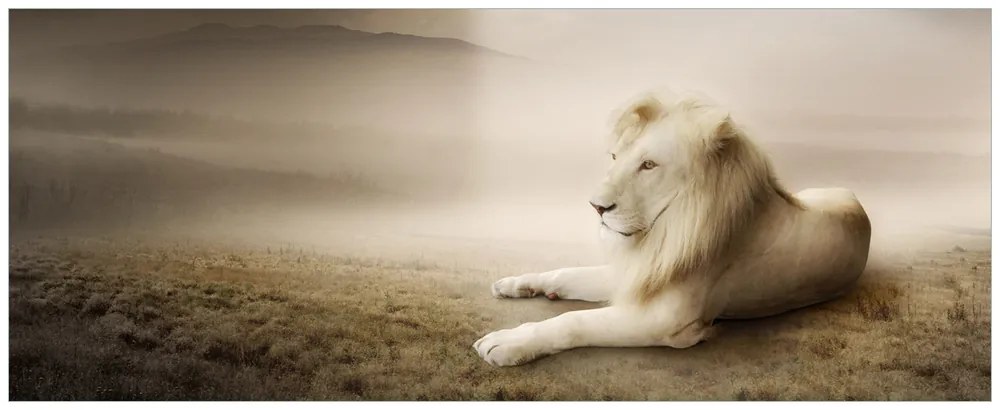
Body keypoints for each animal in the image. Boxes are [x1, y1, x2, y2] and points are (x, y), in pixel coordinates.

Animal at [473, 88, 872, 367]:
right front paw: (519, 284)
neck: (662, 233)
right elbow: (567, 273)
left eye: (649, 165)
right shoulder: (640, 273)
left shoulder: (666, 320)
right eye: (615, 157)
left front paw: (507, 342)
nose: (596, 207)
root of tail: (857, 200)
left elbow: (574, 322)